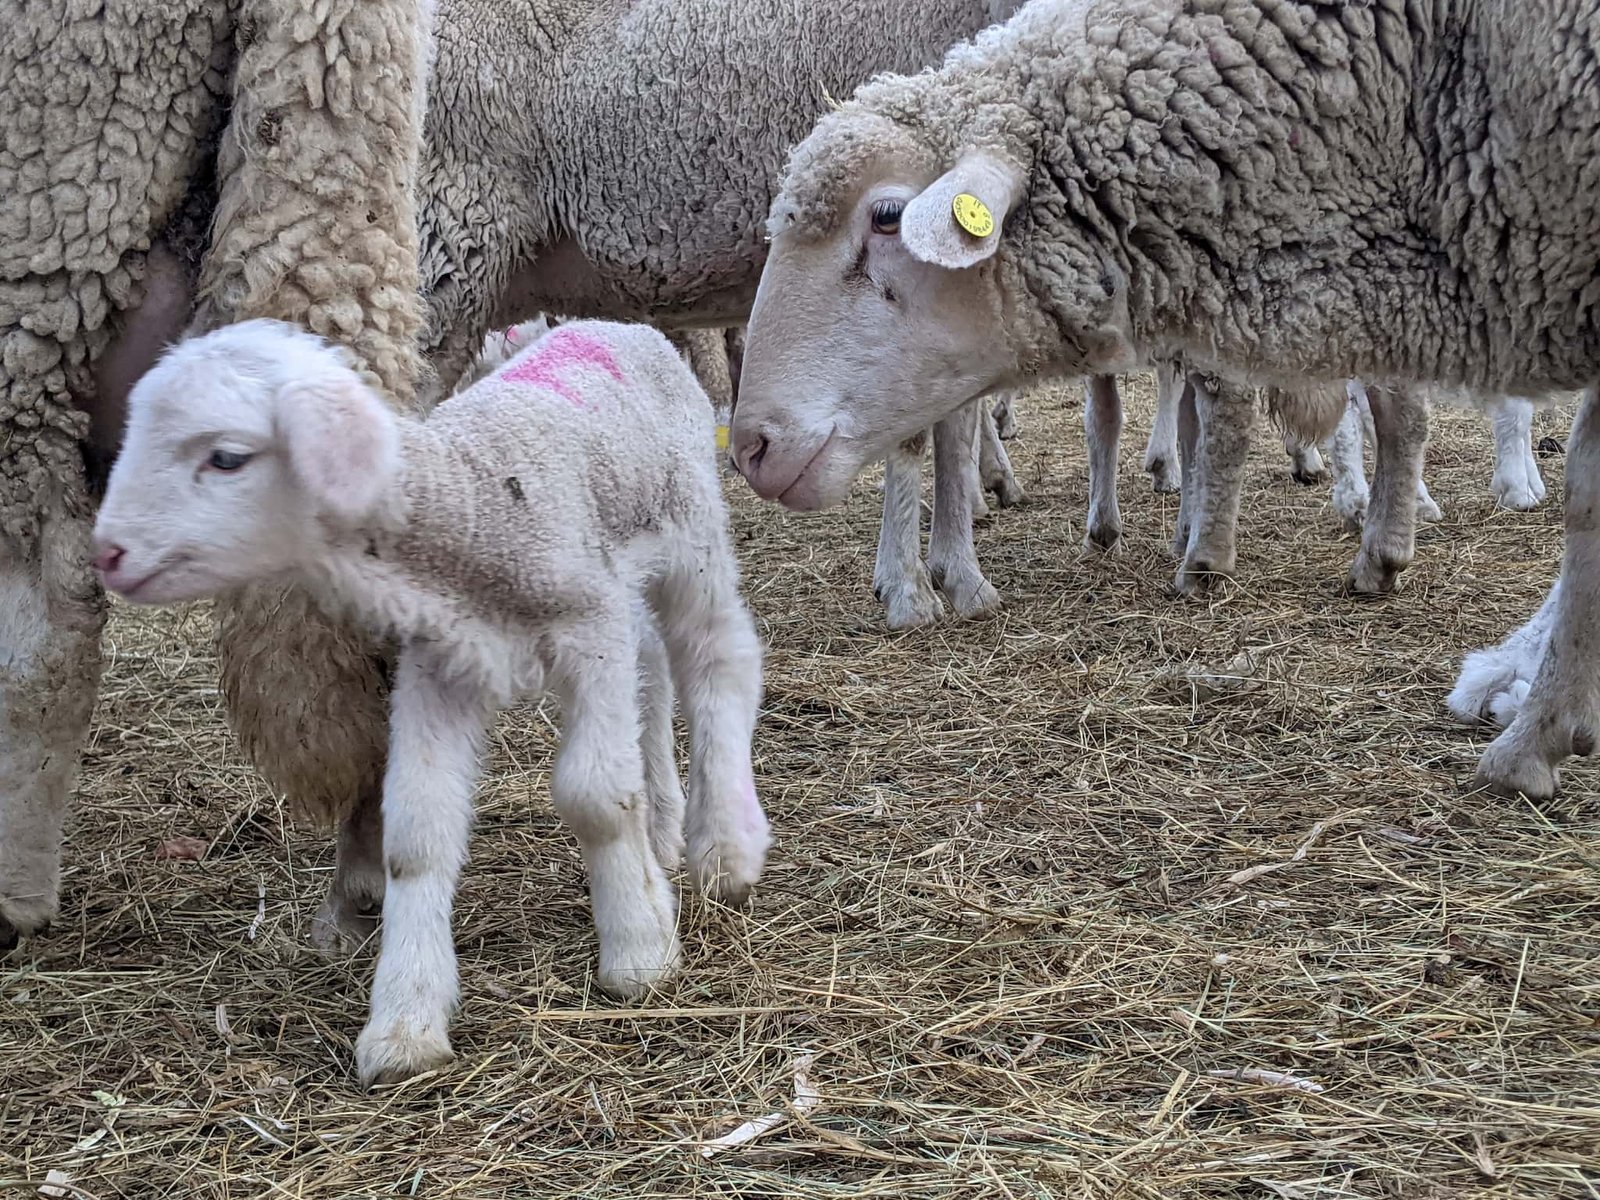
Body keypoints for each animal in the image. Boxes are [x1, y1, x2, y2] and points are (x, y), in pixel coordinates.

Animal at [90, 316, 771, 1088]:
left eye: (227, 458)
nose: (107, 553)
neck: (474, 503)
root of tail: (611, 324)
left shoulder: (587, 629)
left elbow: (595, 797)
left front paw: (639, 952)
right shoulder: (440, 662)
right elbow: (415, 836)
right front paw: (404, 1023)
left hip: (691, 531)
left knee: (717, 656)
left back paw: (726, 849)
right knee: (652, 666)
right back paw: (659, 829)